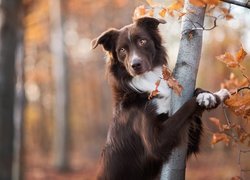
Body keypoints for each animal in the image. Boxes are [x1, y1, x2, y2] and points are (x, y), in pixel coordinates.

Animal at [91, 16, 229, 179]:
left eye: (142, 41)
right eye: (122, 50)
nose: (135, 65)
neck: (147, 83)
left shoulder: (190, 144)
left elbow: (196, 96)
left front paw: (207, 95)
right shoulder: (157, 142)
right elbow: (186, 106)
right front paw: (217, 95)